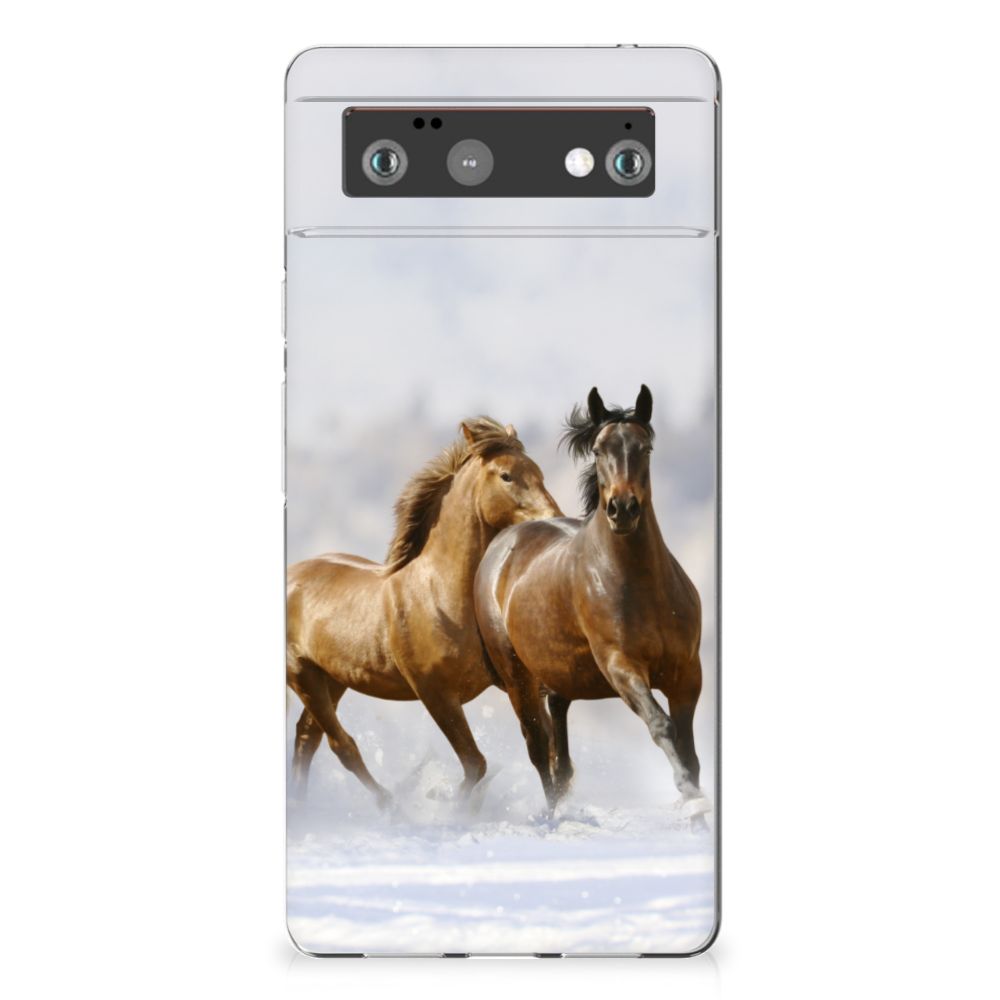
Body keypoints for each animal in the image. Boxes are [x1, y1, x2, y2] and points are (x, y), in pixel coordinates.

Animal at [287, 417, 560, 808]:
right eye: (507, 475)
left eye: (538, 472)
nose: (555, 519)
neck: (440, 595)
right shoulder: (435, 693)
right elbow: (476, 763)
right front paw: (448, 804)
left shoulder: (514, 682)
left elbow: (543, 748)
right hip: (302, 675)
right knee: (342, 745)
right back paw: (388, 804)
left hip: (332, 678)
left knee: (307, 738)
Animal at [474, 386, 710, 821]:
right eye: (599, 450)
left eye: (645, 447)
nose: (623, 509)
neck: (641, 586)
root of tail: (503, 543)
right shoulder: (621, 667)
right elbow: (661, 726)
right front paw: (688, 796)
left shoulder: (687, 673)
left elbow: (689, 749)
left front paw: (698, 811)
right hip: (518, 678)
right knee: (539, 749)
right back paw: (553, 817)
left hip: (559, 677)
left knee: (560, 752)